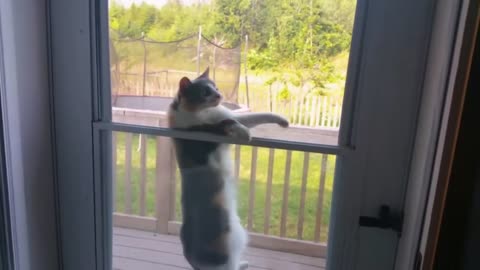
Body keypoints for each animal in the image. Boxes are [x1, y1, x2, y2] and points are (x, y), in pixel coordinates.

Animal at [169, 68, 288, 270]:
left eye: (216, 87)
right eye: (205, 92)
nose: (219, 95)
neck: (206, 112)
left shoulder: (235, 116)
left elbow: (256, 116)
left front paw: (283, 120)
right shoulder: (204, 134)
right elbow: (227, 123)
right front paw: (245, 134)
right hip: (229, 247)